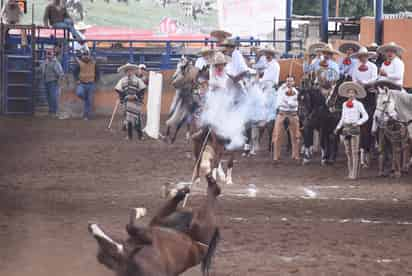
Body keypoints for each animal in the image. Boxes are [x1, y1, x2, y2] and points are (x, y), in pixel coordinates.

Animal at [88, 175, 220, 276]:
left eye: (111, 252)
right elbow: (129, 226)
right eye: (102, 255)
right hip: (180, 222)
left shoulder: (147, 238)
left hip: (194, 222)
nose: (90, 226)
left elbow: (129, 227)